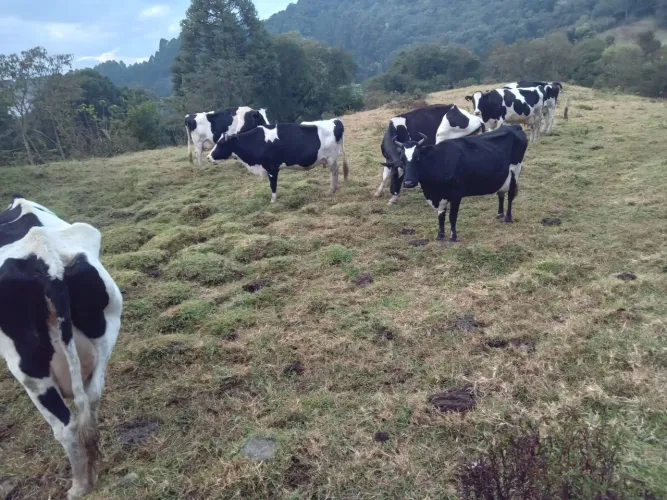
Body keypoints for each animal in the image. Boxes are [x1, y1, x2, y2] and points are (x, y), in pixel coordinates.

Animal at [0, 196, 122, 499]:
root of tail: (48, 260)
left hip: (29, 368)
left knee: (66, 427)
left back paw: (79, 486)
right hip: (108, 327)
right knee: (92, 398)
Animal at [207, 119, 349, 203]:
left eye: (220, 144)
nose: (208, 157)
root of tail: (335, 120)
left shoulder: (271, 168)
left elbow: (273, 185)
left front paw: (273, 201)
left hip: (331, 158)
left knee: (334, 172)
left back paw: (331, 190)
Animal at [397, 125, 528, 242]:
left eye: (417, 157)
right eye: (402, 160)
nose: (408, 182)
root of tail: (513, 127)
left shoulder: (456, 195)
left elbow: (452, 216)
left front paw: (453, 237)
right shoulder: (440, 195)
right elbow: (440, 216)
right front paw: (440, 235)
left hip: (515, 172)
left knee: (510, 195)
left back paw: (508, 218)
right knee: (501, 194)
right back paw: (500, 214)